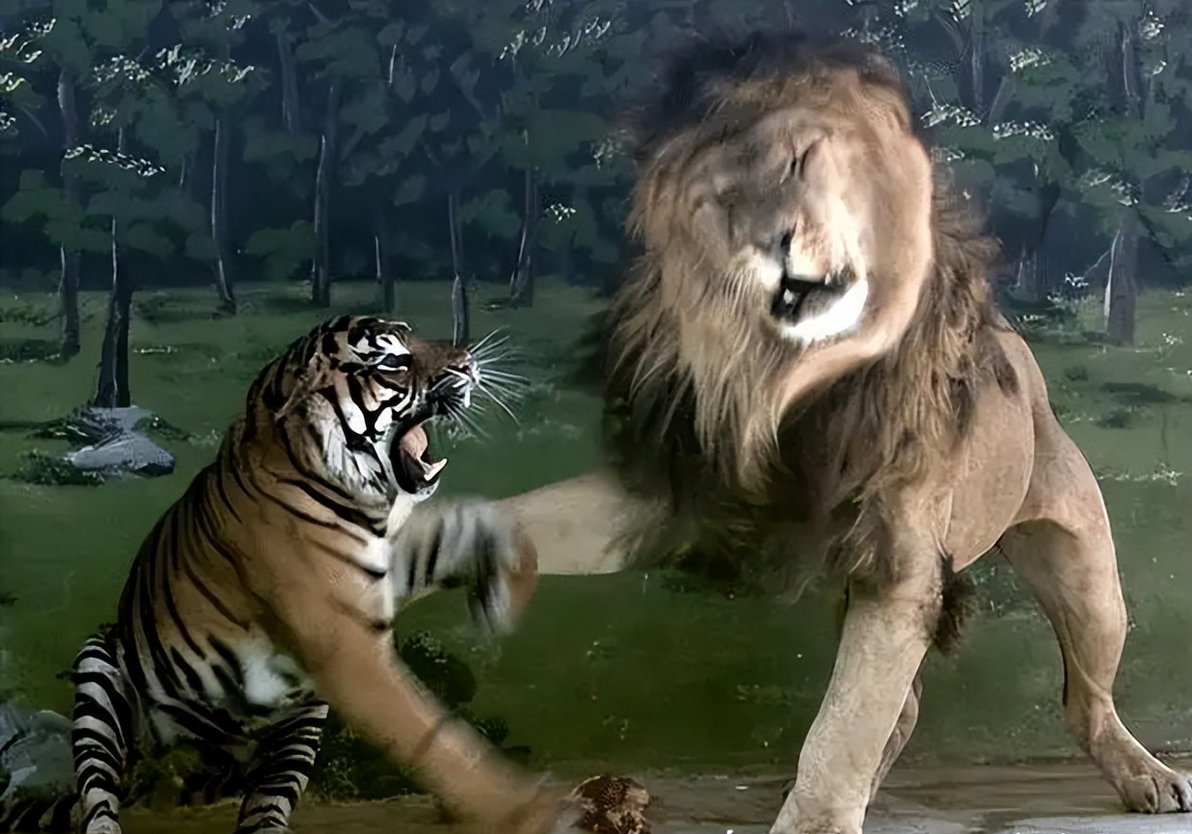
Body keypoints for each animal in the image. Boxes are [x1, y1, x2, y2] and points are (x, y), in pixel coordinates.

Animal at [13, 316, 560, 834]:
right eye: (393, 361)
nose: (469, 364)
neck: (361, 500)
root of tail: (163, 772)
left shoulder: (386, 561)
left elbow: (466, 523)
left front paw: (506, 587)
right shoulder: (347, 645)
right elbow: (434, 734)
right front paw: (532, 810)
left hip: (299, 721)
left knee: (263, 804)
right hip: (99, 673)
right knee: (99, 796)